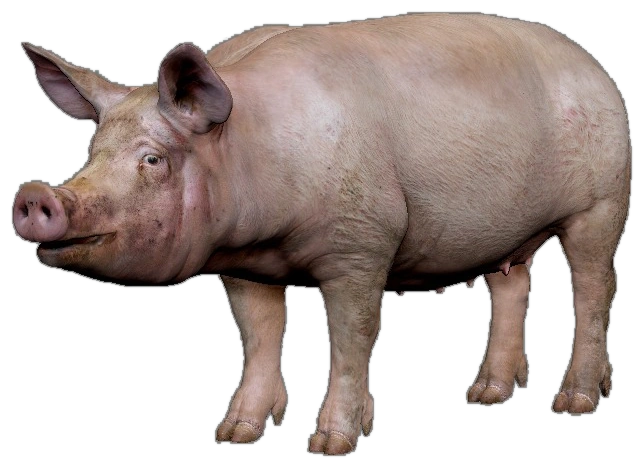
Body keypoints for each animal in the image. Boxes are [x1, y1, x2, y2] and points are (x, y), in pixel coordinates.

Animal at [13, 14, 630, 455]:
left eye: (152, 158)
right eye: (94, 153)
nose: (35, 196)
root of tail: (596, 70)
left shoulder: (363, 241)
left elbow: (351, 338)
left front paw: (330, 444)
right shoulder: (243, 266)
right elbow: (260, 335)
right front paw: (236, 435)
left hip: (604, 201)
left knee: (595, 288)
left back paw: (574, 402)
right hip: (505, 232)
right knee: (513, 284)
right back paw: (485, 395)